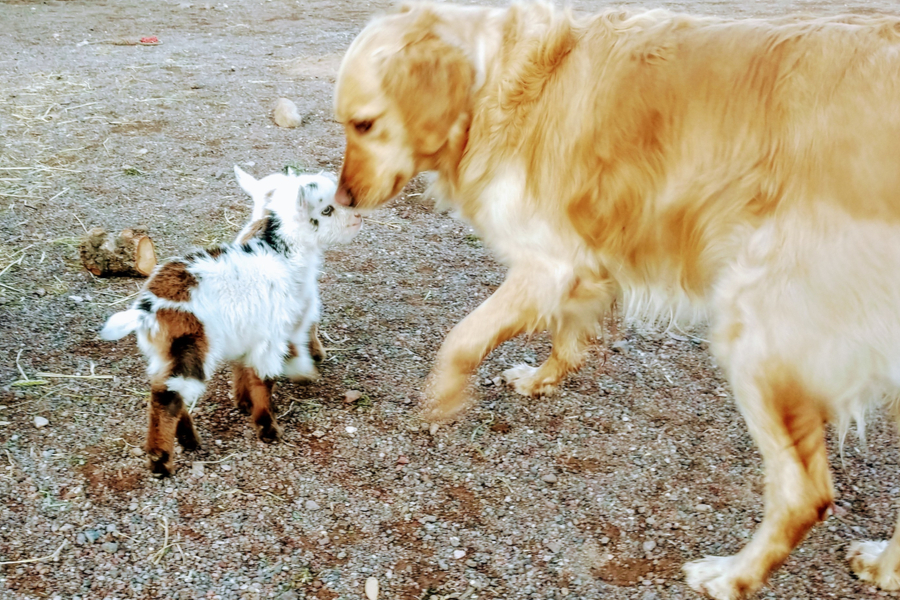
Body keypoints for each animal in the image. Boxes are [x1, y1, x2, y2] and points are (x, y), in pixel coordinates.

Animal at [102, 166, 362, 476]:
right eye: (327, 210)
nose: (358, 217)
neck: (284, 256)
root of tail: (147, 309)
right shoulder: (272, 334)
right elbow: (264, 378)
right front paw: (267, 427)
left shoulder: (247, 331)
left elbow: (244, 369)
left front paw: (244, 403)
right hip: (191, 348)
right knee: (165, 396)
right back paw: (161, 461)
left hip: (164, 353)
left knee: (167, 390)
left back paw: (188, 439)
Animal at [334, 2, 900, 596]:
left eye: (364, 124)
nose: (341, 199)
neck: (499, 84)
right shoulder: (584, 263)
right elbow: (566, 337)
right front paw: (540, 380)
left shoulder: (546, 263)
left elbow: (461, 338)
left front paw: (442, 400)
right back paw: (884, 568)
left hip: (760, 336)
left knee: (803, 493)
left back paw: (730, 575)